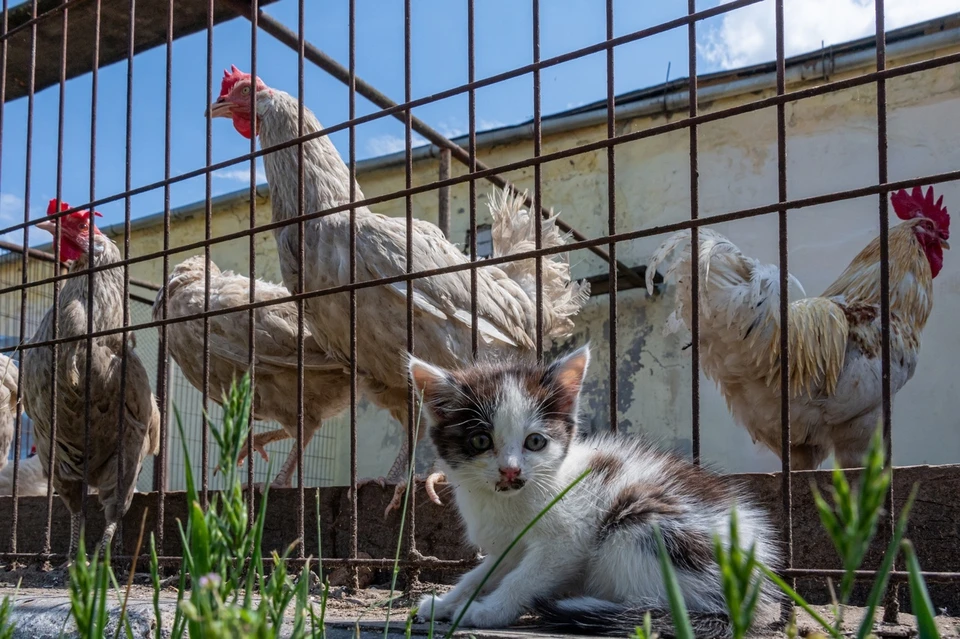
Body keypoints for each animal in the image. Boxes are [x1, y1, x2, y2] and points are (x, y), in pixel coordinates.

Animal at [408, 344, 784, 636]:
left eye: (535, 442)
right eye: (480, 441)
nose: (511, 469)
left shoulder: (567, 541)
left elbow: (524, 577)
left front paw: (488, 611)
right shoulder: (509, 545)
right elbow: (483, 573)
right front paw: (447, 602)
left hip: (638, 524)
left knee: (669, 605)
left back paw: (588, 607)